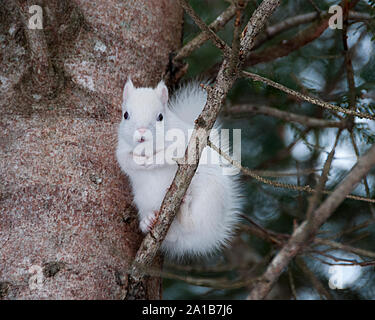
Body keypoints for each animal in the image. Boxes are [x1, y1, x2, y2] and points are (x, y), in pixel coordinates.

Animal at [116, 79, 242, 258]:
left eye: (160, 117)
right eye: (126, 115)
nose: (141, 132)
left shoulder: (184, 142)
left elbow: (172, 153)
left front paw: (154, 160)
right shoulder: (121, 149)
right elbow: (125, 161)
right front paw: (140, 161)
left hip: (209, 199)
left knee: (193, 225)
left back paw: (184, 208)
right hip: (144, 201)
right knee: (173, 236)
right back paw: (148, 222)